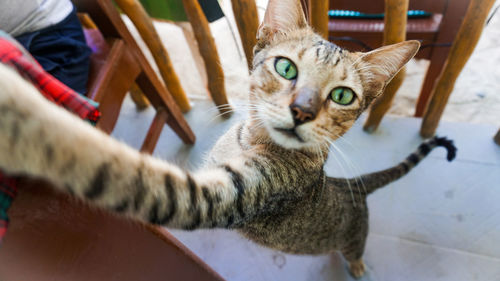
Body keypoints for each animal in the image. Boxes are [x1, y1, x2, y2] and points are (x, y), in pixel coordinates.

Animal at [0, 0, 456, 276]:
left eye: (342, 95)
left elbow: (129, 175)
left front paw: (25, 114)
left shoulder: (227, 196)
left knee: (355, 249)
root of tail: (351, 188)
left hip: (356, 235)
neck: (245, 138)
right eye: (286, 68)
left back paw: (356, 266)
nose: (302, 111)